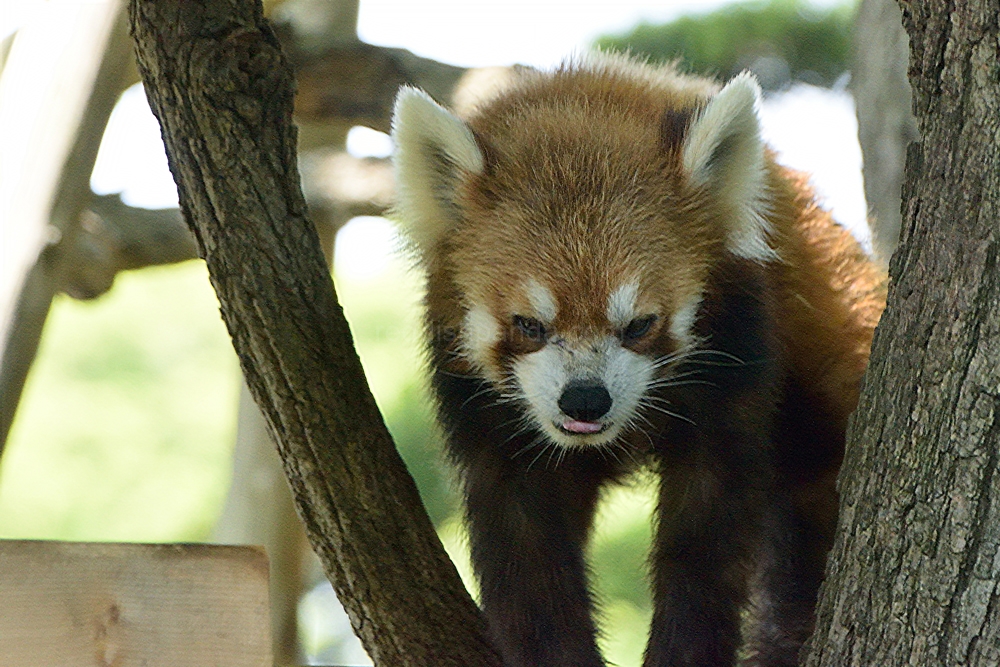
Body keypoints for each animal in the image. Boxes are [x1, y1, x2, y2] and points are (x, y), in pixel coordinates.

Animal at [388, 53, 884, 667]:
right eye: (529, 325)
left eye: (639, 325)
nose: (584, 399)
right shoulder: (487, 416)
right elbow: (524, 546)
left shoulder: (738, 352)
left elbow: (706, 534)